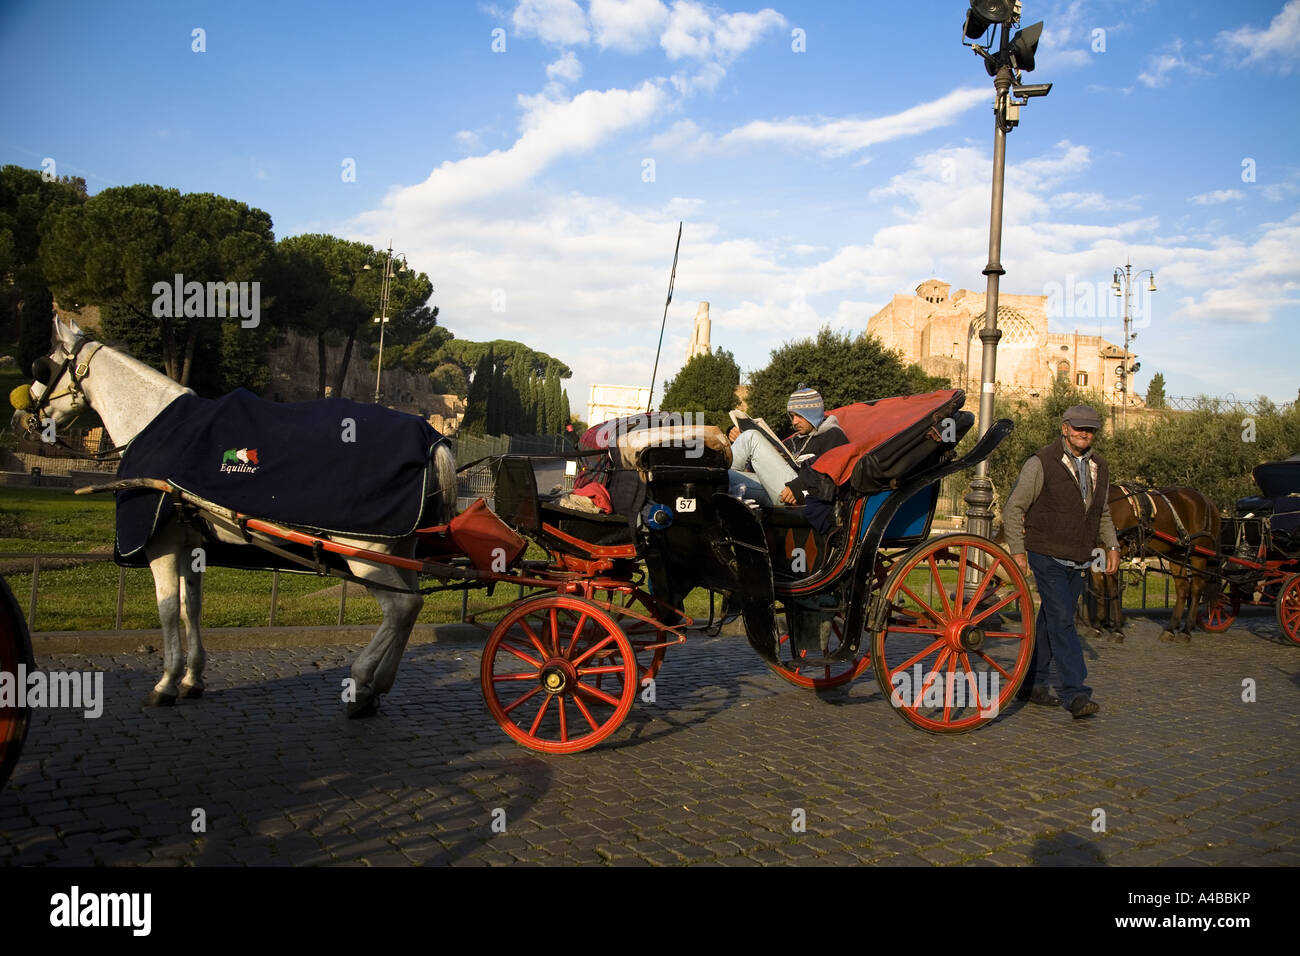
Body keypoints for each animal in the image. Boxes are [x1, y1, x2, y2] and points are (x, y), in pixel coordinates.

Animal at [8, 319, 457, 717]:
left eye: (43, 365)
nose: (19, 417)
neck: (152, 422)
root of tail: (432, 439)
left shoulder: (160, 543)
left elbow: (167, 608)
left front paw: (165, 682)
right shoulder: (191, 543)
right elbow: (191, 606)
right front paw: (192, 678)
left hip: (362, 549)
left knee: (400, 607)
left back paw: (363, 681)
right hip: (402, 546)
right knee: (412, 605)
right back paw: (378, 685)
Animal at [1107, 486, 1216, 642]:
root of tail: (1209, 501)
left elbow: (1113, 589)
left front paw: (1117, 629)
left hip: (1199, 554)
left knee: (1196, 588)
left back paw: (1186, 631)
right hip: (1178, 554)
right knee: (1182, 588)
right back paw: (1171, 628)